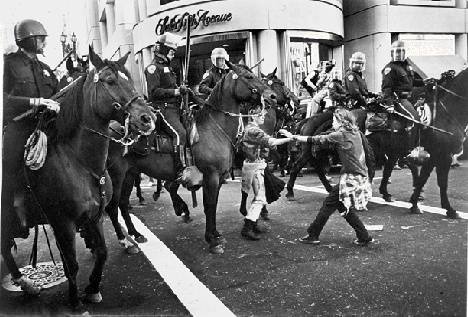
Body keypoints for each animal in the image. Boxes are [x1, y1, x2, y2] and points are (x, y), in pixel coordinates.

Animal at [0, 47, 156, 308]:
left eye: (130, 80)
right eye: (110, 80)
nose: (147, 119)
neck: (79, 163)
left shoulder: (94, 216)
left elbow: (102, 251)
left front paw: (92, 288)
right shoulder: (62, 223)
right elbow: (71, 264)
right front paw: (75, 302)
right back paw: (25, 283)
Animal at [103, 60, 276, 253]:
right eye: (249, 77)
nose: (273, 96)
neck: (215, 129)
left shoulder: (218, 178)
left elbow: (213, 204)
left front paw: (216, 234)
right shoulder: (211, 176)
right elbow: (209, 206)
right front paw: (212, 240)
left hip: (130, 174)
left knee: (123, 203)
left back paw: (136, 234)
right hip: (116, 176)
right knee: (112, 207)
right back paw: (125, 242)